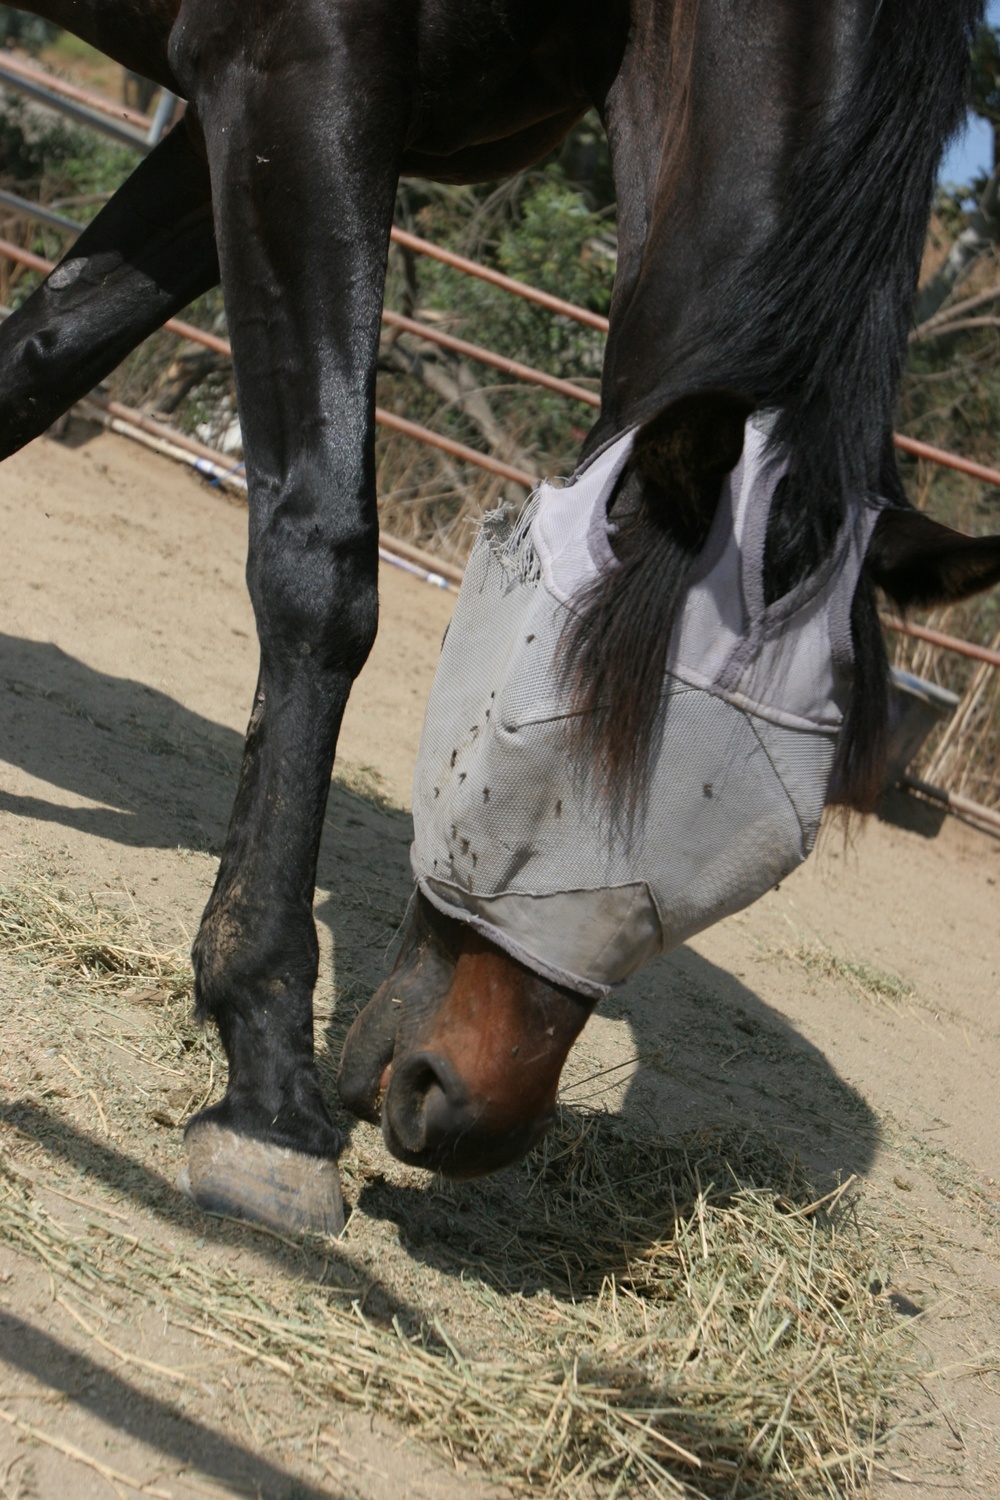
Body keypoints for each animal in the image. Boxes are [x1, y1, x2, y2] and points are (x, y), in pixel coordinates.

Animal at [1, 0, 1000, 1230]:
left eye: (771, 855)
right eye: (541, 743)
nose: (468, 1119)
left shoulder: (219, 121)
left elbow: (36, 365)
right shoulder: (292, 81)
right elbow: (319, 565)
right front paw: (267, 1082)